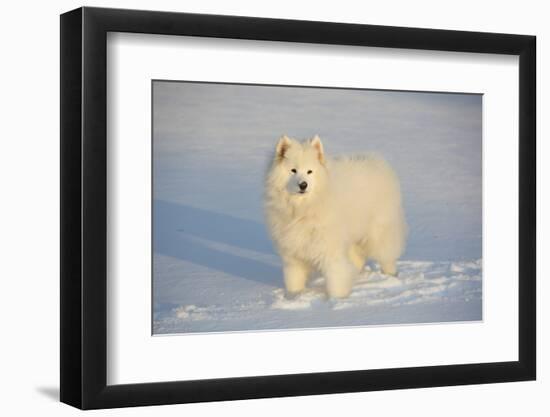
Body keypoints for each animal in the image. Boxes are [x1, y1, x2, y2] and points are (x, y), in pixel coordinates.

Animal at [266, 135, 408, 298]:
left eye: (310, 171)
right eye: (293, 170)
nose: (303, 185)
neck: (303, 209)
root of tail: (377, 161)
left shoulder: (330, 248)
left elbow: (335, 277)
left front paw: (337, 299)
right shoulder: (293, 253)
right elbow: (294, 280)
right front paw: (295, 296)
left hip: (379, 233)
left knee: (387, 256)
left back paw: (390, 276)